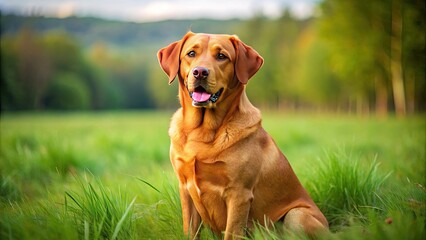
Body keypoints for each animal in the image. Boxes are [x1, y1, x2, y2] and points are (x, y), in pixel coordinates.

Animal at [158, 31, 328, 238]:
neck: (203, 130)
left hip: (296, 215)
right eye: (191, 53)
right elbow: (189, 230)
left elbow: (232, 232)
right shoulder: (185, 188)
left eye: (221, 56)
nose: (200, 72)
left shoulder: (239, 194)